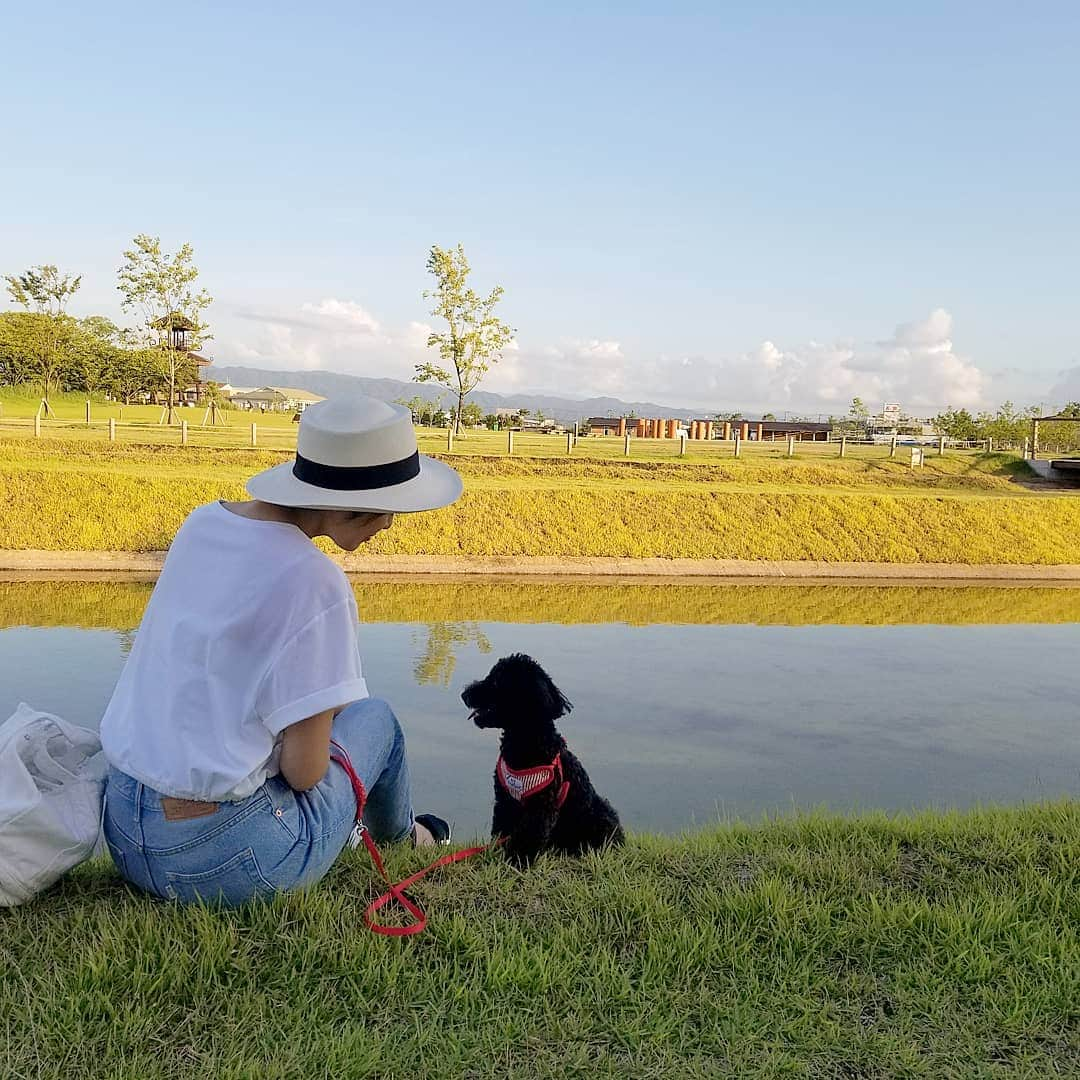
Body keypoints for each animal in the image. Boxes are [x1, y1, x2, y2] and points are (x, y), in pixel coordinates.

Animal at [462, 648, 626, 868]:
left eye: (495, 681)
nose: (464, 694)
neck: (525, 743)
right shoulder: (505, 800)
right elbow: (501, 829)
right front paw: (497, 854)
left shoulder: (540, 807)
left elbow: (529, 835)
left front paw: (519, 862)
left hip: (600, 816)